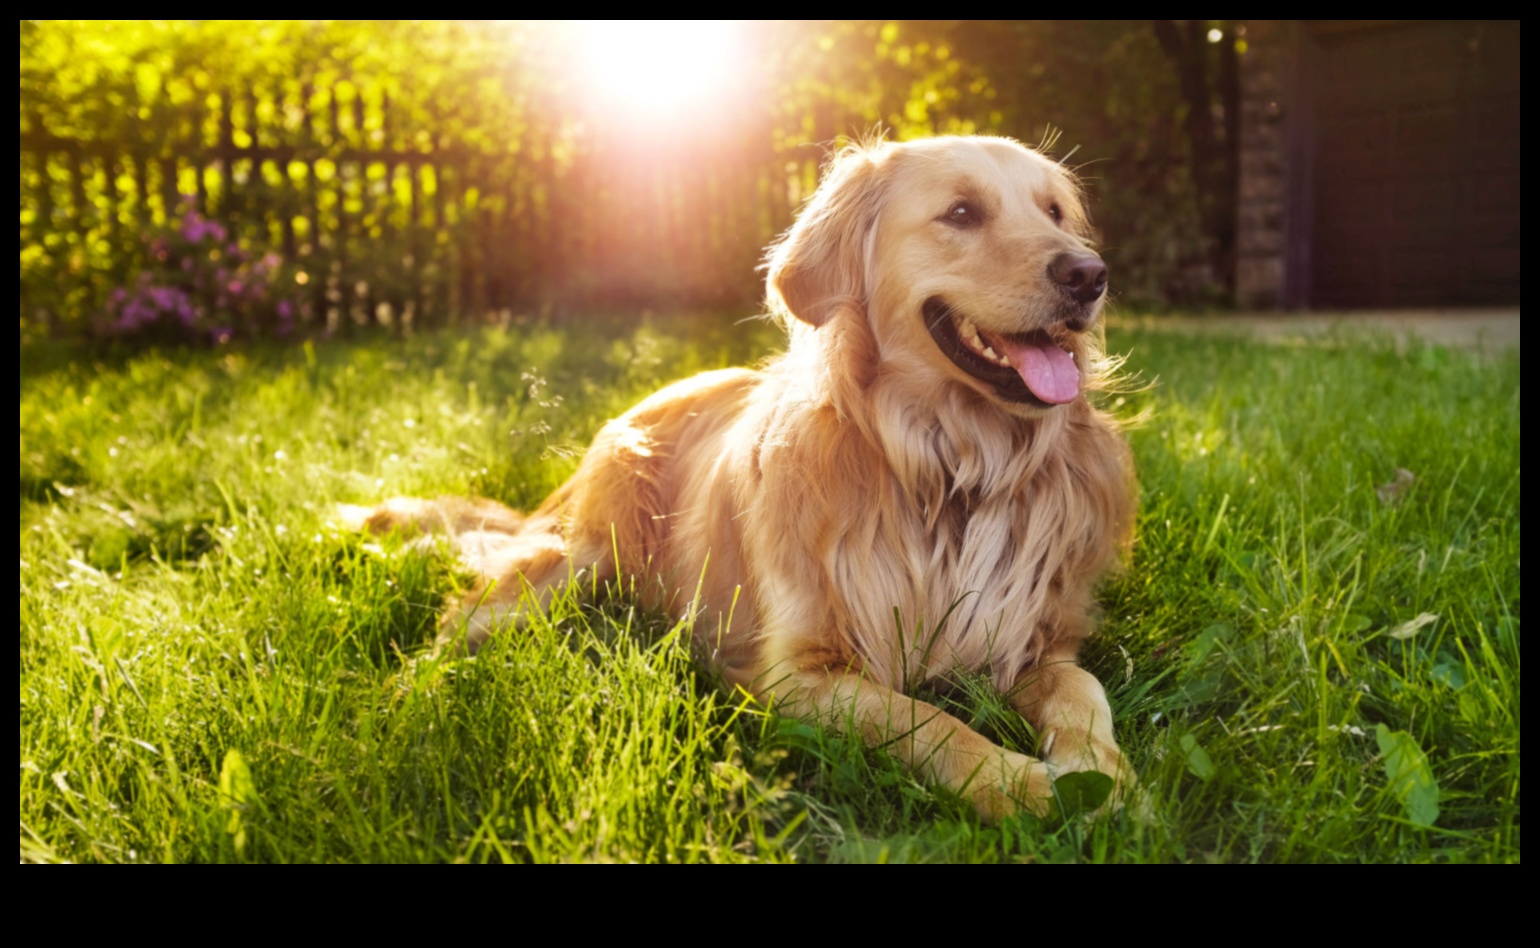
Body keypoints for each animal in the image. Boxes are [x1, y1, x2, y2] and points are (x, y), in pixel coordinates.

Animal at [354, 135, 1139, 824]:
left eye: (1055, 212)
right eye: (962, 213)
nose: (1089, 276)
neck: (950, 470)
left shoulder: (1033, 640)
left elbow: (1083, 690)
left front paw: (1103, 775)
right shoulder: (797, 674)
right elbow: (923, 718)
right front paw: (1018, 784)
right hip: (575, 561)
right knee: (454, 627)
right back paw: (403, 705)